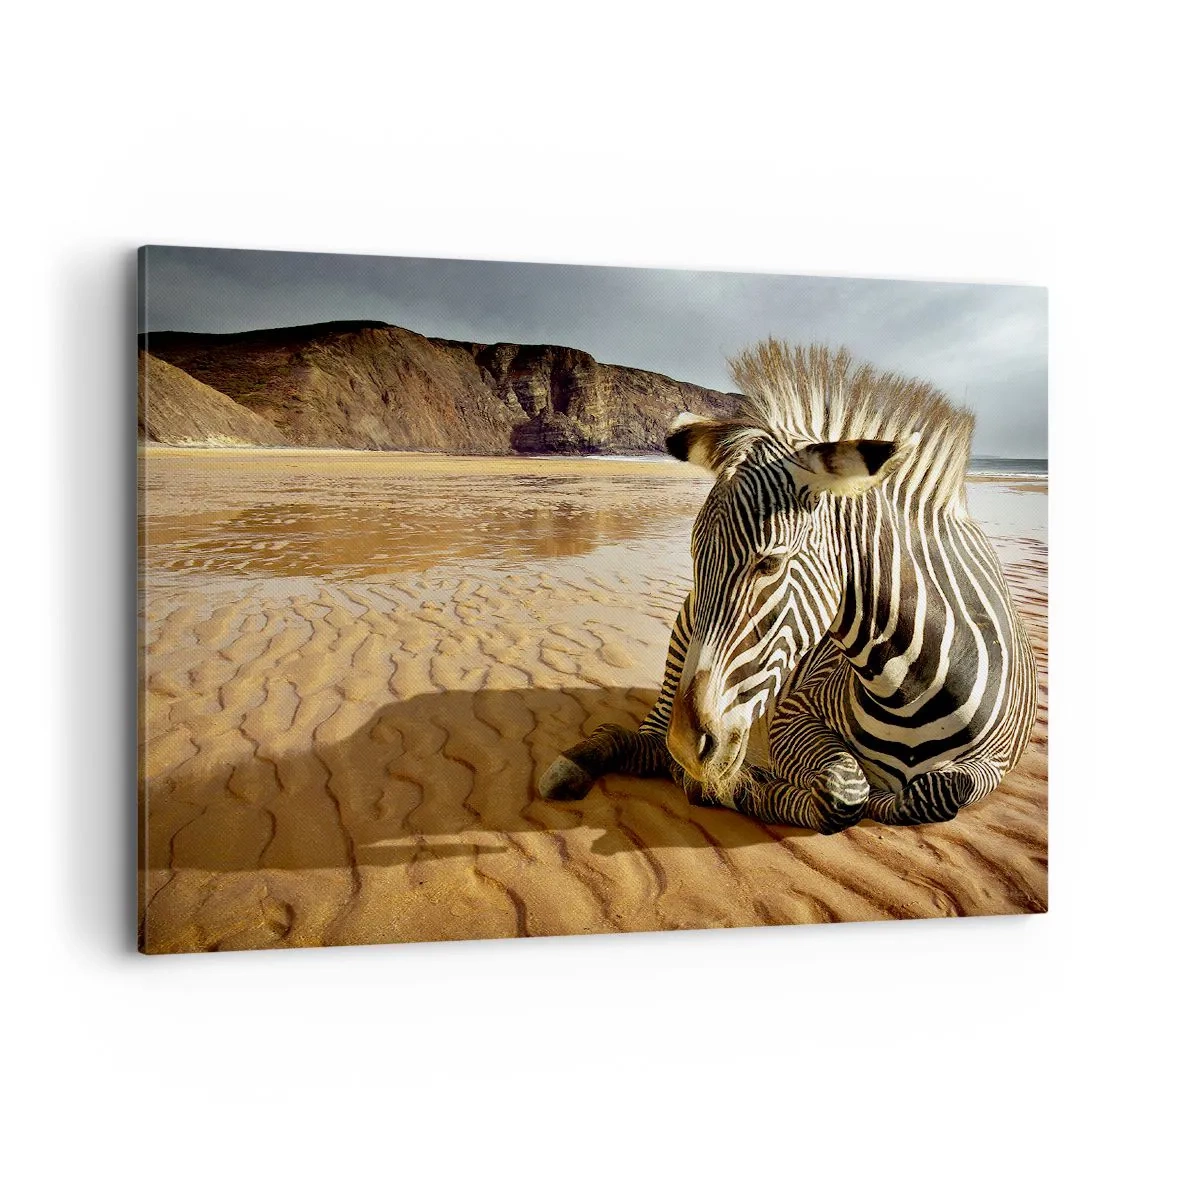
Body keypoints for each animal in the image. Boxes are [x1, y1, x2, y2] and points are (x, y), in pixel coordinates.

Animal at [538, 340, 1039, 833]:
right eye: (696, 557)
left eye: (770, 563)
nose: (687, 745)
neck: (910, 688)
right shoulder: (793, 713)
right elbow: (843, 792)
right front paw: (737, 787)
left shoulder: (994, 763)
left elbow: (932, 792)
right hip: (682, 644)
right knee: (648, 743)